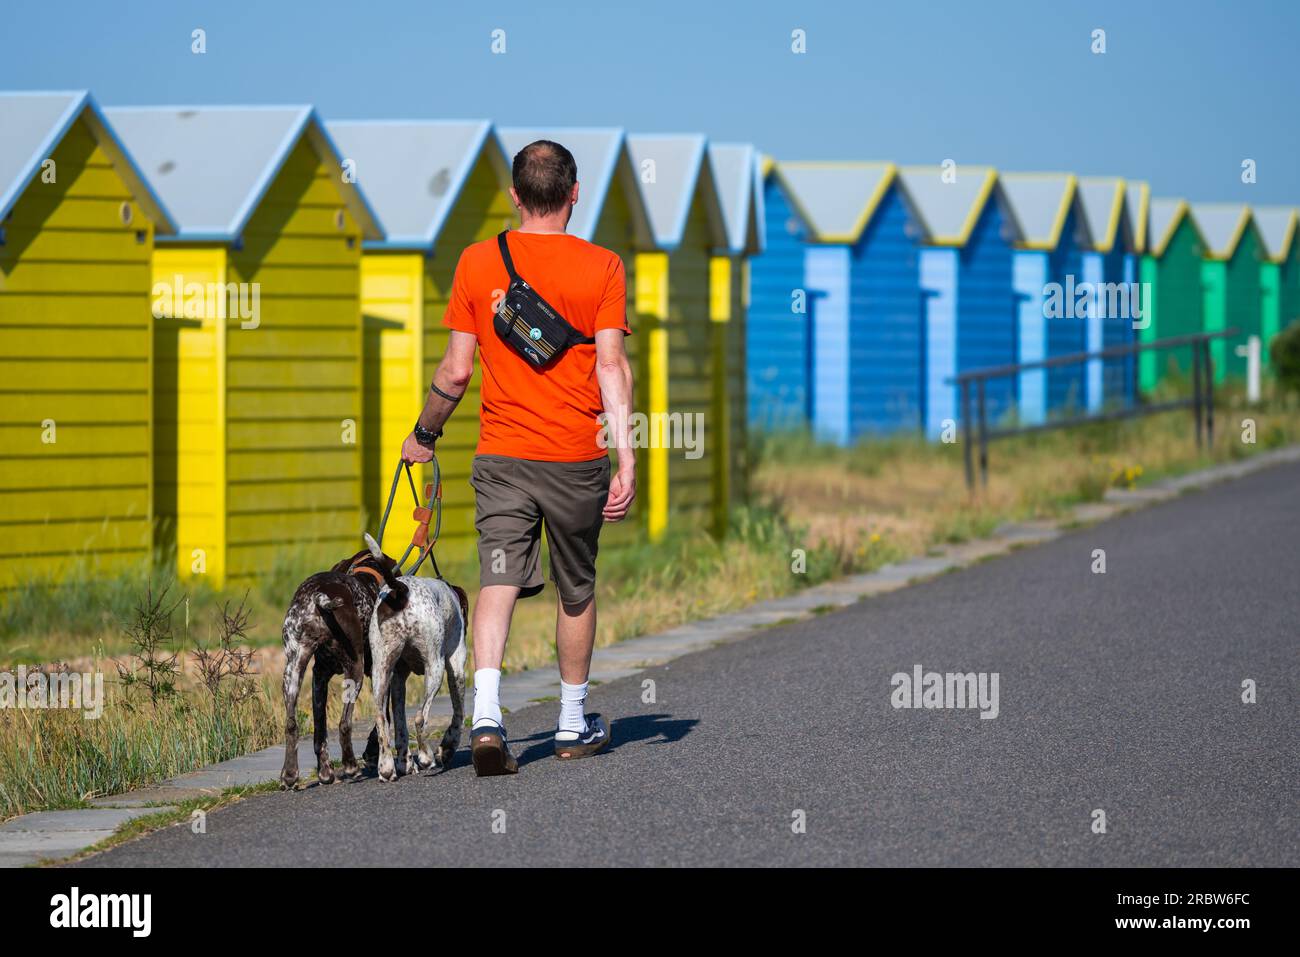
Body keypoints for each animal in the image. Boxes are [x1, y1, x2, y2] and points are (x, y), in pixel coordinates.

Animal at [278, 548, 410, 790]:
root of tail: (318, 599)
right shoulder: (380, 673)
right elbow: (382, 719)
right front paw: (374, 752)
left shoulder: (319, 677)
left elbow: (319, 733)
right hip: (354, 670)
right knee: (344, 724)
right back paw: (351, 766)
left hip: (293, 671)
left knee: (292, 724)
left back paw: (293, 775)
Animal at [364, 535, 470, 780]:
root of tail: (400, 590)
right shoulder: (457, 669)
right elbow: (458, 714)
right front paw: (447, 748)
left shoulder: (397, 680)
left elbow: (400, 727)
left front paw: (404, 763)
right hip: (435, 667)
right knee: (420, 718)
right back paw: (426, 757)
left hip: (381, 671)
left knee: (382, 720)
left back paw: (386, 767)